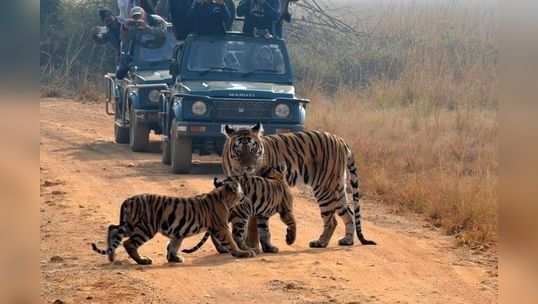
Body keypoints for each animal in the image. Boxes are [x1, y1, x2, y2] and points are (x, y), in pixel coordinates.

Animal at [91, 179, 254, 264]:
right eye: (242, 192)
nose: (246, 197)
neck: (225, 198)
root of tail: (128, 199)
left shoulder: (178, 231)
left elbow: (174, 245)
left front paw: (174, 258)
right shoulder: (222, 227)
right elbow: (231, 241)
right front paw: (242, 253)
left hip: (130, 225)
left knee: (112, 229)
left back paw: (111, 256)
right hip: (145, 228)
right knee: (128, 243)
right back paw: (142, 260)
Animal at [220, 122, 374, 248]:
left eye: (253, 150)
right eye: (239, 151)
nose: (249, 167)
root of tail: (340, 139)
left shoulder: (258, 191)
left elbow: (253, 222)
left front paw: (251, 245)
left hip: (325, 188)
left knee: (331, 220)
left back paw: (320, 242)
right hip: (337, 188)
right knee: (349, 213)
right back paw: (347, 240)